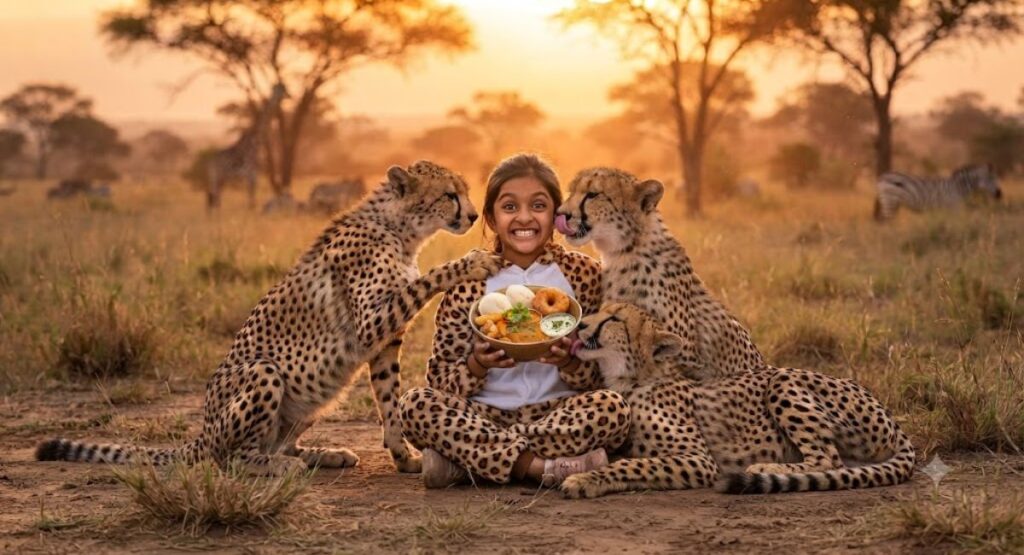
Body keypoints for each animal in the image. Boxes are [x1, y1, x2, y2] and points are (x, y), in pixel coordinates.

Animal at [36, 161, 502, 475]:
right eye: (449, 194)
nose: (472, 215)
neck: (399, 229)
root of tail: (202, 433)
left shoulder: (384, 341)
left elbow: (388, 398)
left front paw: (403, 456)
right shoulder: (373, 323)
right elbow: (426, 280)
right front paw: (470, 262)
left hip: (318, 395)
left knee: (278, 445)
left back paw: (323, 455)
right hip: (264, 373)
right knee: (232, 459)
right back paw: (278, 467)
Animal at [559, 302, 916, 498]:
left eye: (614, 319)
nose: (581, 324)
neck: (631, 378)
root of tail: (888, 416)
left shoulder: (700, 459)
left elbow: (631, 463)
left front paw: (585, 479)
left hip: (782, 381)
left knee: (829, 459)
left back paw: (767, 467)